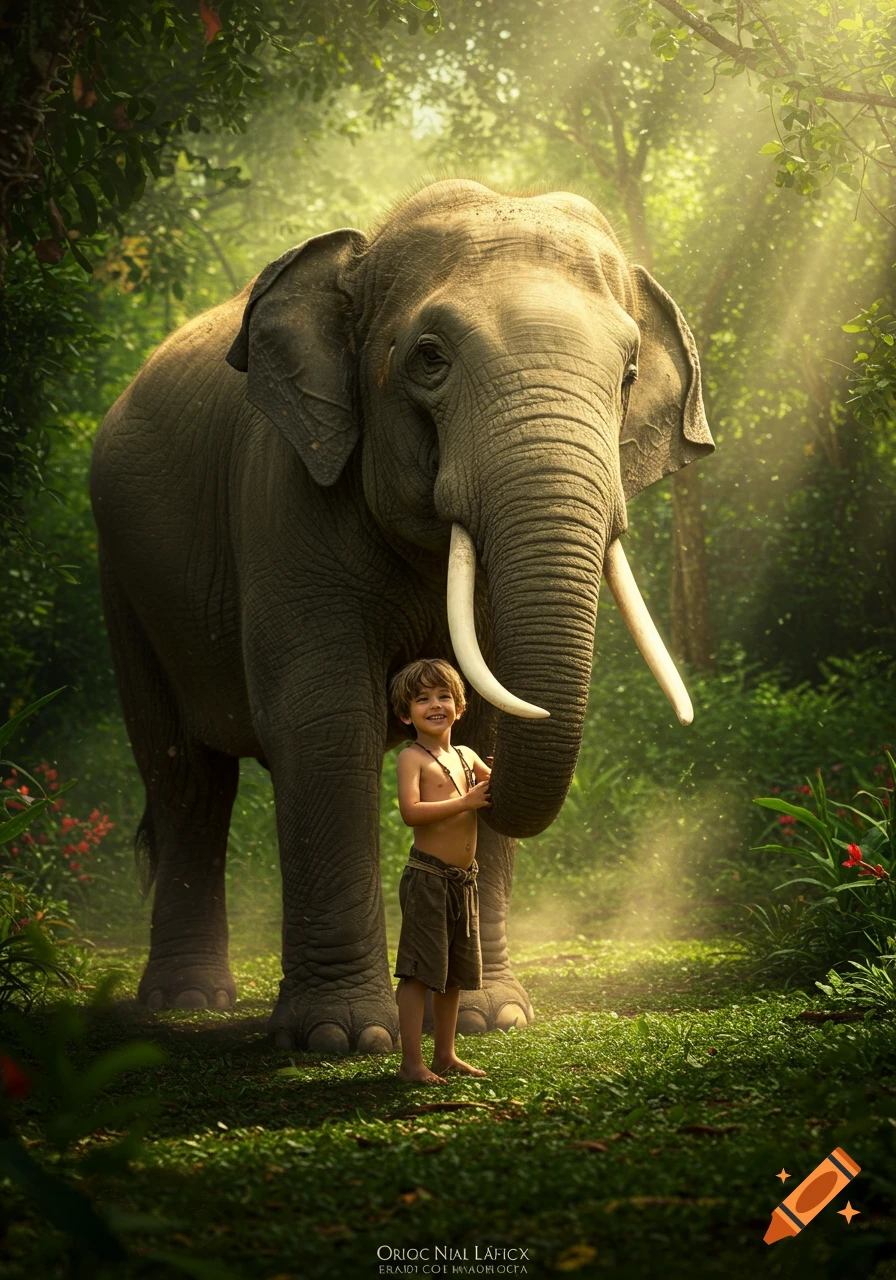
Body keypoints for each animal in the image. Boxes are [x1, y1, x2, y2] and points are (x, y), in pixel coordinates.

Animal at [90, 179, 713, 1052]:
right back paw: (186, 1003)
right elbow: (323, 720)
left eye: (627, 372)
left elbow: (494, 721)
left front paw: (494, 1017)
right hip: (123, 578)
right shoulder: (284, 496)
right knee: (186, 778)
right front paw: (344, 1039)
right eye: (428, 359)